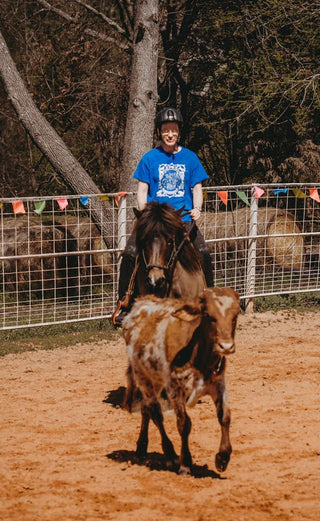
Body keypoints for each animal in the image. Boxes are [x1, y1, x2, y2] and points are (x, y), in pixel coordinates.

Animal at [122, 286, 240, 474]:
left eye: (235, 316)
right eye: (208, 315)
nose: (226, 346)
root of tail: (140, 303)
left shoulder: (218, 384)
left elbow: (225, 416)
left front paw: (223, 457)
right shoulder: (174, 388)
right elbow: (184, 424)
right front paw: (185, 463)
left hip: (155, 379)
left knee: (146, 409)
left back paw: (141, 448)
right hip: (142, 376)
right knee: (155, 412)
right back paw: (170, 455)